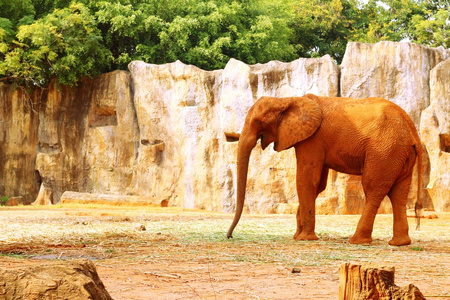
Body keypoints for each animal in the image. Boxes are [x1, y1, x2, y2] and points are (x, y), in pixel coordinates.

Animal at [227, 94, 424, 246]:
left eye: (259, 122)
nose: (229, 236)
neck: (286, 99)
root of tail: (413, 132)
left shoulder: (312, 139)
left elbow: (306, 180)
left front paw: (305, 238)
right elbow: (318, 185)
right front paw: (297, 236)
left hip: (384, 151)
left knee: (373, 189)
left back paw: (357, 241)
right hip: (399, 154)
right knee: (399, 193)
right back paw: (399, 243)